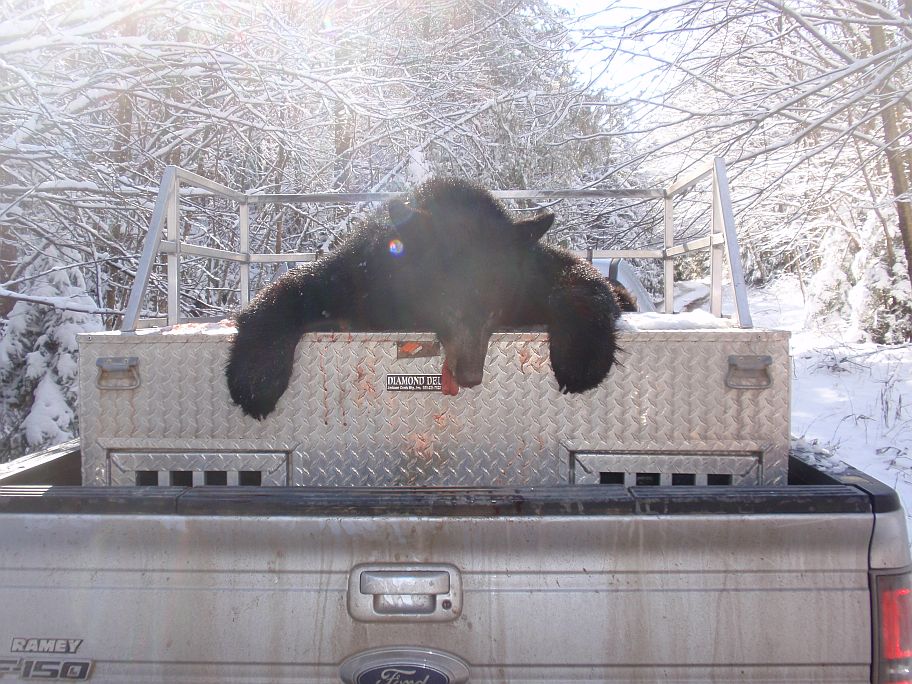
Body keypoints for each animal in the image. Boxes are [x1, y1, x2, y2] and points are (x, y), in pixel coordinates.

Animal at [226, 177, 622, 419]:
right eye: (446, 301)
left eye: (494, 309)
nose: (470, 375)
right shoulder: (359, 279)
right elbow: (292, 289)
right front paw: (257, 375)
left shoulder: (531, 275)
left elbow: (579, 279)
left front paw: (581, 357)